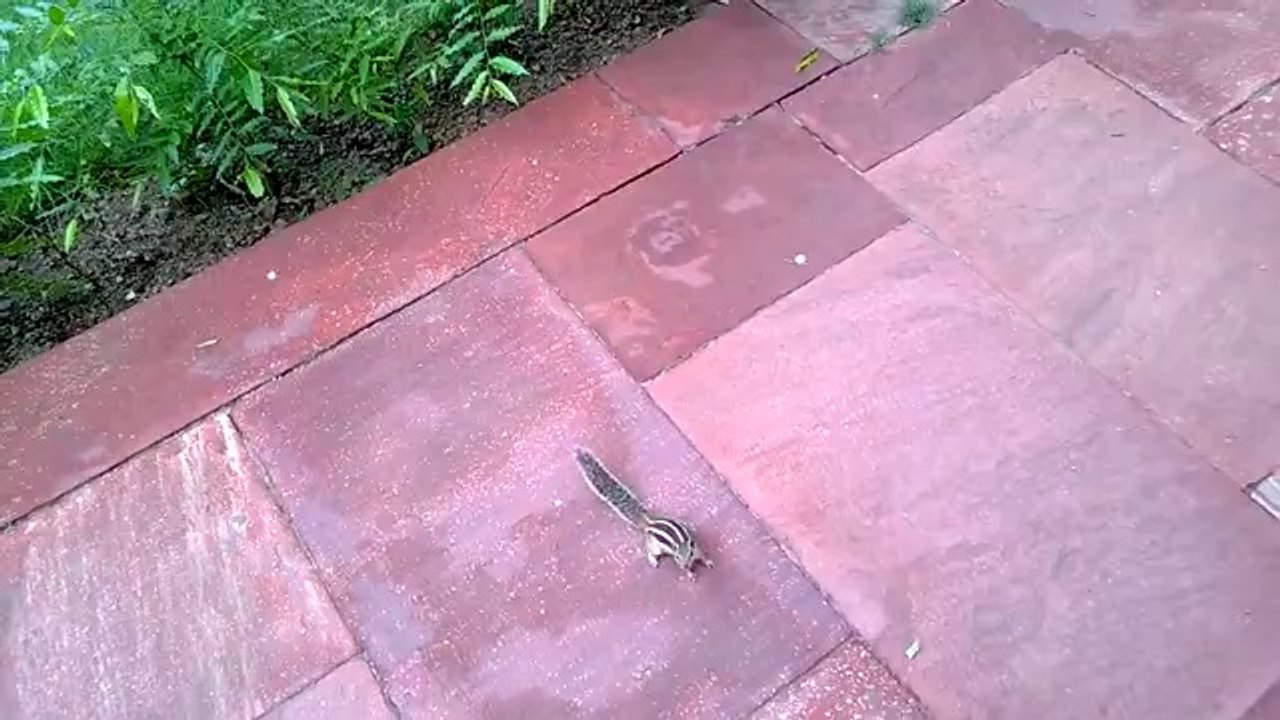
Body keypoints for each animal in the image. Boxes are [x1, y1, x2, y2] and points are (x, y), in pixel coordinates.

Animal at [573, 448, 713, 578]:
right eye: (677, 557)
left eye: (689, 554)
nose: (684, 566)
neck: (681, 543)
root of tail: (650, 522)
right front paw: (690, 573)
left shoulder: (697, 549)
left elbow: (702, 555)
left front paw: (707, 562)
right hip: (655, 546)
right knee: (650, 551)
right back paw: (653, 560)